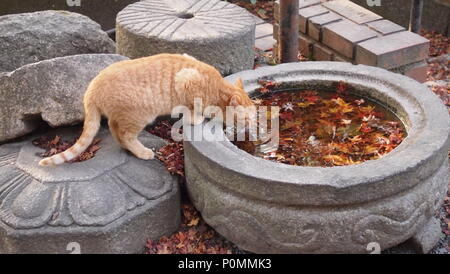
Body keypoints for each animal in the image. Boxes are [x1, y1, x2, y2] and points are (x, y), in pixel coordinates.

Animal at [38, 53, 253, 165]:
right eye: (247, 119)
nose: (252, 126)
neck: (217, 88)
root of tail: (91, 87)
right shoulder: (186, 81)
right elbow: (193, 108)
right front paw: (196, 117)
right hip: (139, 115)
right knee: (125, 135)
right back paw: (141, 152)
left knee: (115, 130)